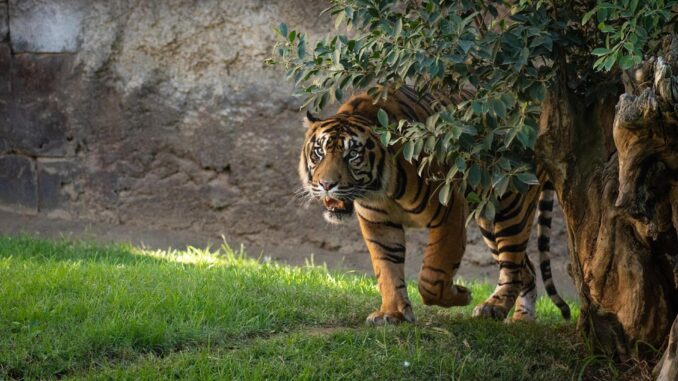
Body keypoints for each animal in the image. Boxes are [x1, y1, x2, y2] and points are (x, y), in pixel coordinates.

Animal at [300, 86, 572, 324]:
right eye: (319, 152)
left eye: (353, 155)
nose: (326, 184)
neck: (380, 189)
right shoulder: (378, 222)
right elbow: (387, 269)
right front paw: (392, 313)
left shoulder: (448, 210)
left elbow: (433, 274)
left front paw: (461, 295)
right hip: (489, 221)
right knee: (525, 268)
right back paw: (522, 319)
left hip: (510, 209)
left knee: (512, 266)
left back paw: (494, 307)